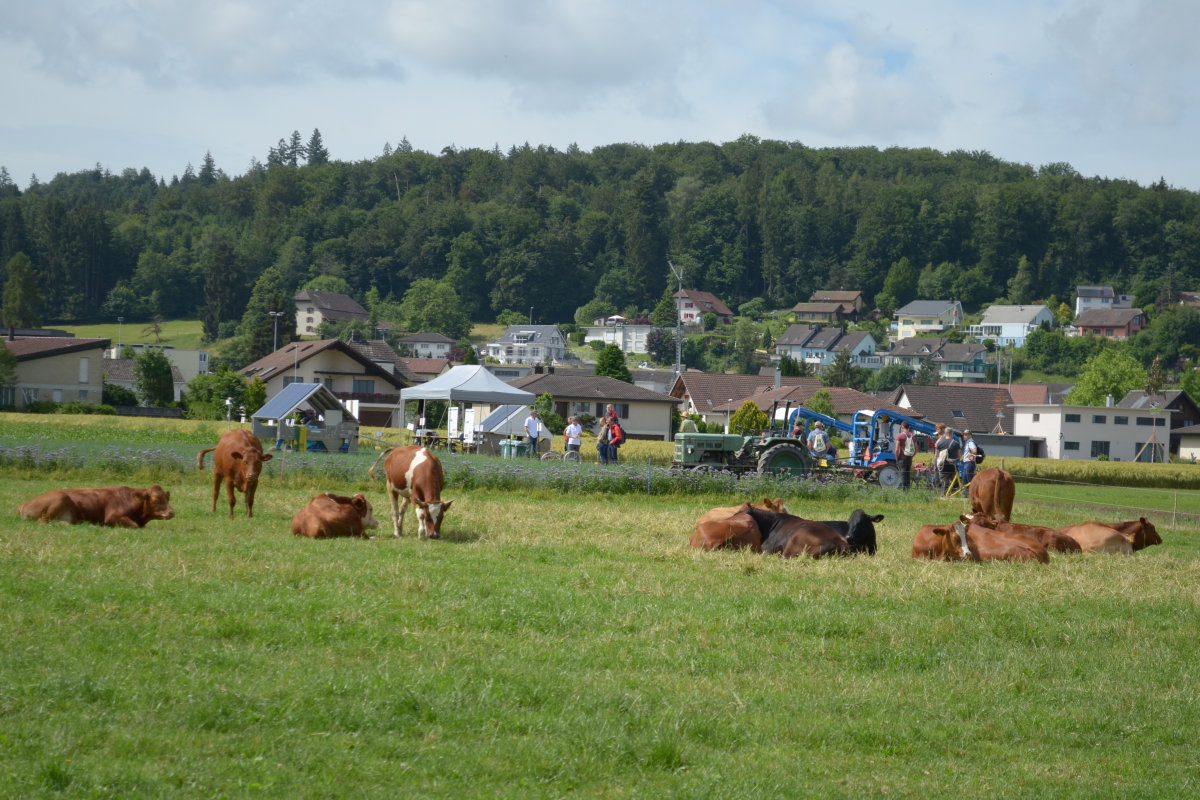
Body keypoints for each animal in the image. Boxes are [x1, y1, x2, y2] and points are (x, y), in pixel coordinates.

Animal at [17, 484, 175, 527]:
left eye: (167, 498)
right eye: (156, 500)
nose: (171, 512)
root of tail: (23, 504)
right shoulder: (112, 517)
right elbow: (135, 526)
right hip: (60, 497)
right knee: (42, 522)